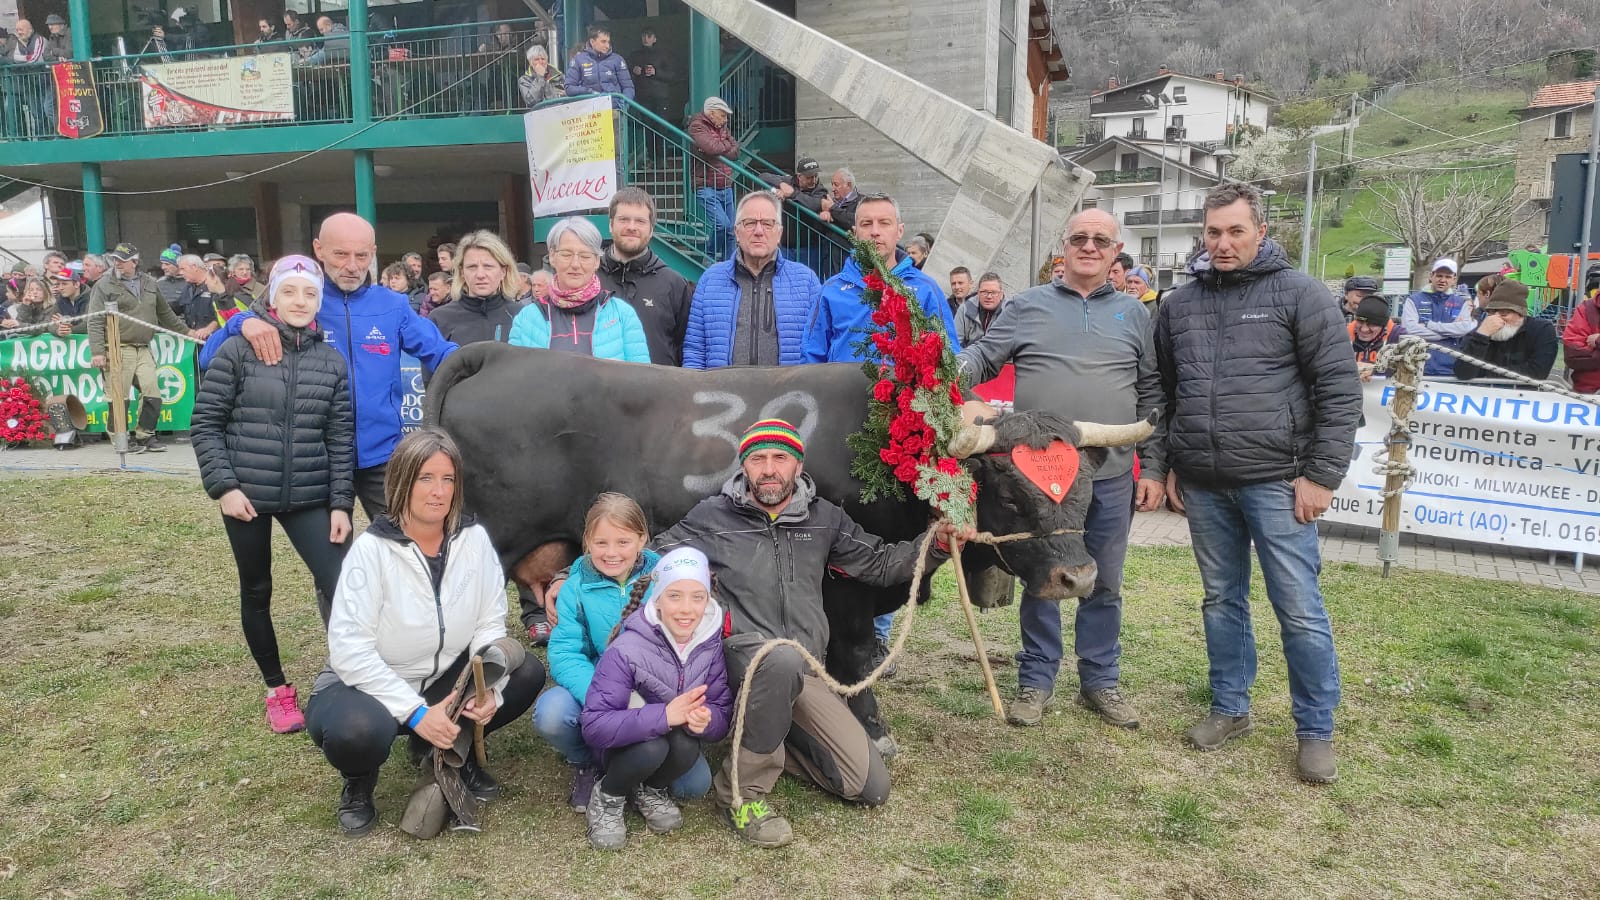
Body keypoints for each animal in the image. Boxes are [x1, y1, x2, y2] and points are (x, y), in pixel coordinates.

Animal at [425, 342, 1152, 749]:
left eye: (1083, 486)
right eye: (1008, 489)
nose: (1079, 578)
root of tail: (500, 352)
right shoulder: (844, 585)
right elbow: (854, 654)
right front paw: (872, 730)